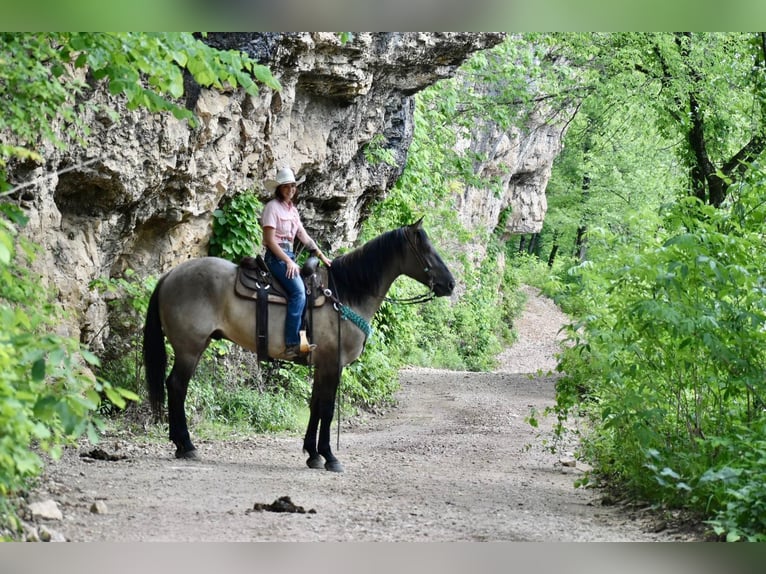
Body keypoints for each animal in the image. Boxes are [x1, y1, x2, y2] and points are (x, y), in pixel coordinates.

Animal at [142, 218, 456, 474]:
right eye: (426, 250)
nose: (451, 284)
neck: (344, 294)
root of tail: (170, 275)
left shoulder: (321, 365)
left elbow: (315, 406)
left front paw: (313, 454)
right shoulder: (332, 364)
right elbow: (327, 409)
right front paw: (330, 457)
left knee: (175, 386)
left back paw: (181, 445)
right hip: (189, 348)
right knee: (177, 386)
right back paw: (186, 446)